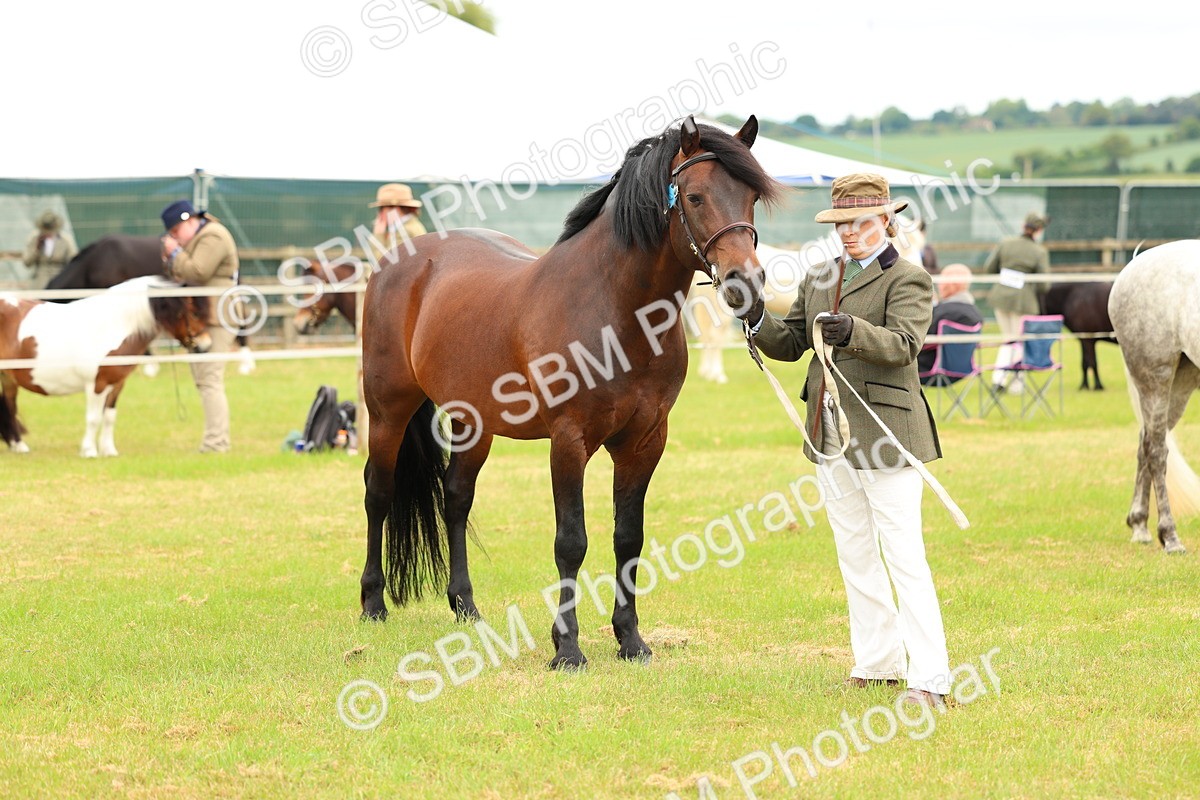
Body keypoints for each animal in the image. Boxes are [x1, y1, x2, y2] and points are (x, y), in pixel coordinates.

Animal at [0, 276, 211, 457]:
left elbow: (109, 417)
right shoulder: (97, 384)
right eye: (194, 313)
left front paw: (109, 451)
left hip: (8, 378)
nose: (205, 346)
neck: (112, 326)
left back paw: (18, 446)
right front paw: (89, 451)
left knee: (9, 406)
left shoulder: (117, 384)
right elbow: (94, 418)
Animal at [359, 115, 781, 669]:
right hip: (387, 412)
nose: (745, 285)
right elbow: (571, 541)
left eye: (750, 197)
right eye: (693, 196)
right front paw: (568, 648)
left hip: (474, 423)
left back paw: (466, 607)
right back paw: (373, 603)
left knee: (456, 498)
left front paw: (631, 640)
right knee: (379, 493)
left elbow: (628, 537)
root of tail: (399, 261)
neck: (614, 308)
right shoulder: (569, 440)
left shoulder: (645, 442)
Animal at [1108, 240, 1200, 553]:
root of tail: (1134, 265)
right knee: (1156, 450)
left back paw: (1139, 525)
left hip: (1182, 383)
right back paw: (1169, 536)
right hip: (1156, 379)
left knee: (1144, 442)